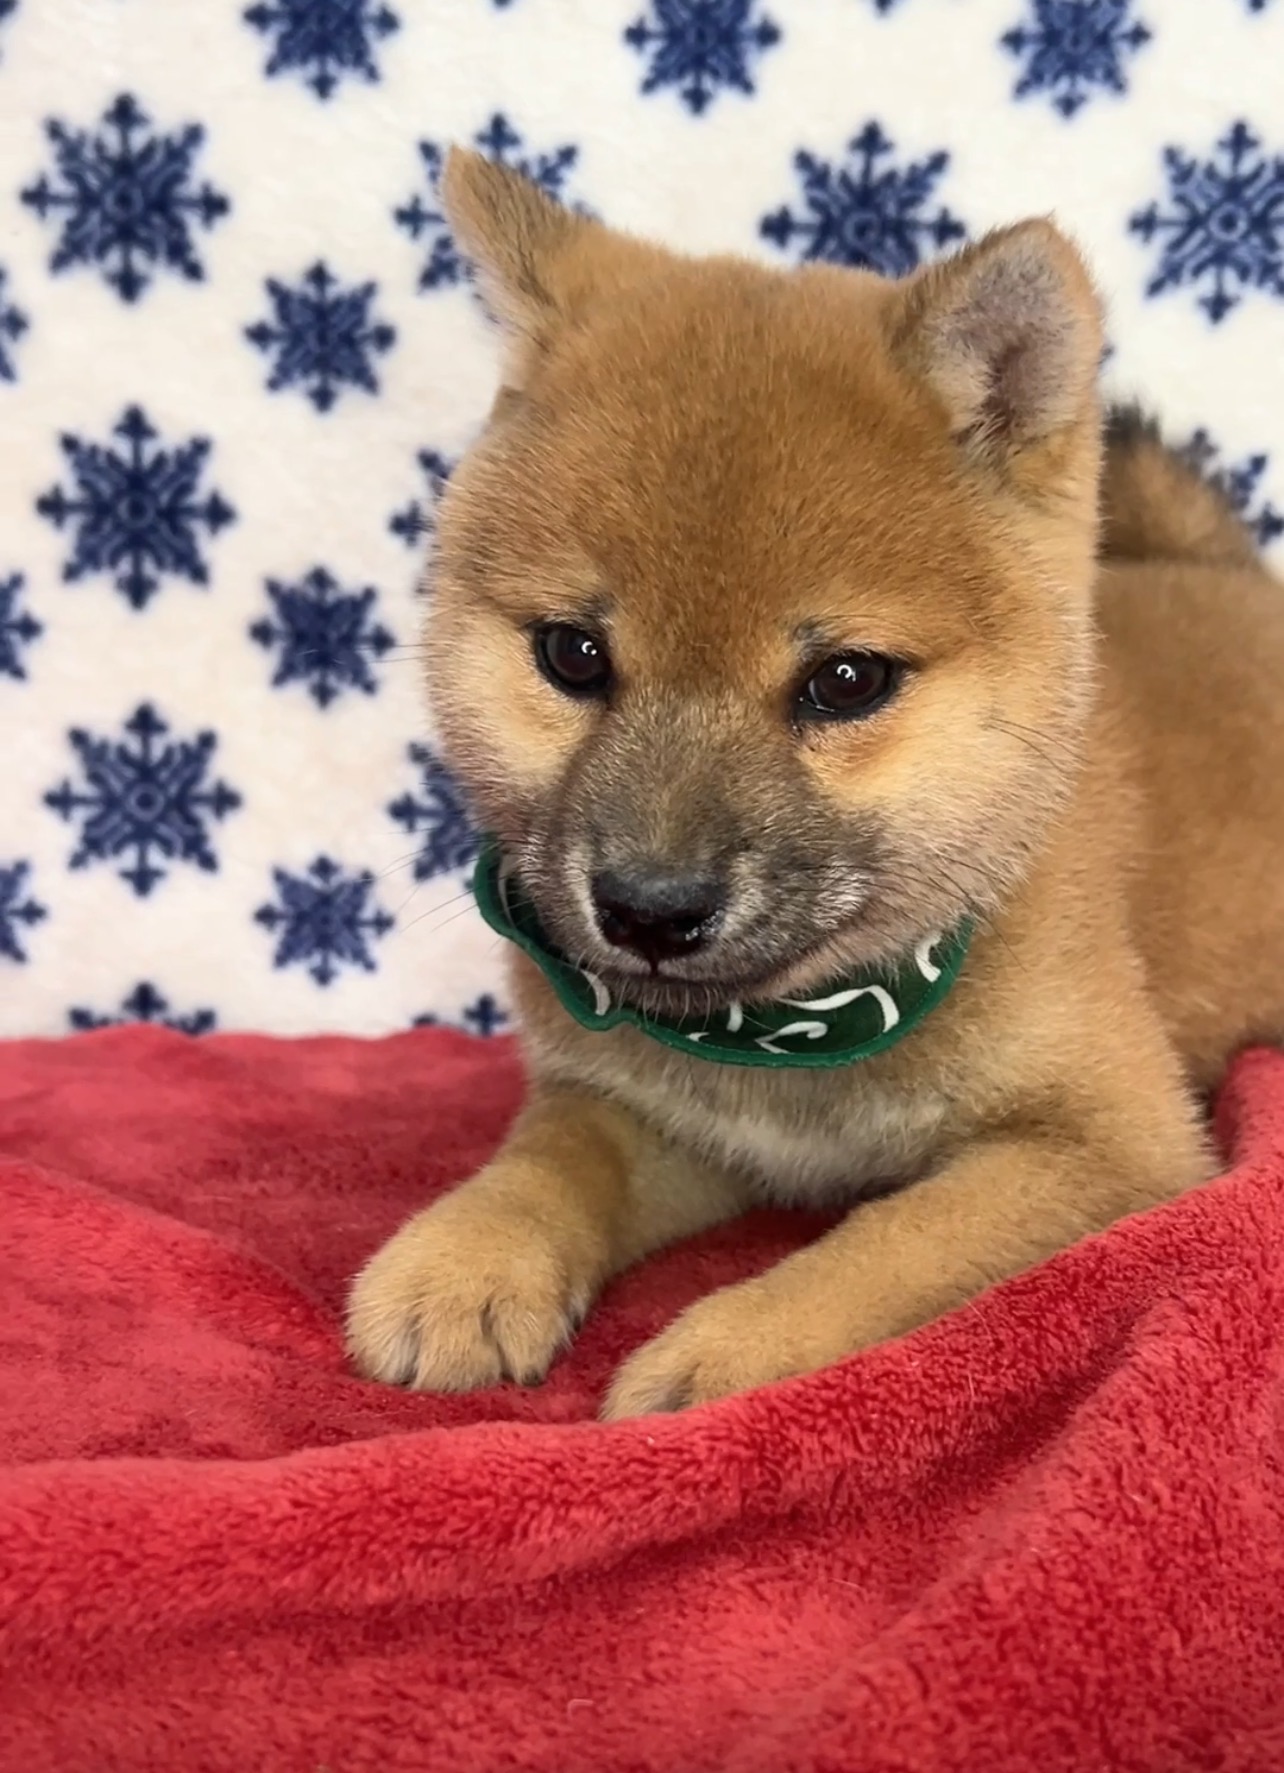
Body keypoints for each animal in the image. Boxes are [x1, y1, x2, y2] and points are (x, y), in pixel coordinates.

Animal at [347, 149, 1284, 1419]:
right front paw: (467, 1256)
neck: (793, 1036)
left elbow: (889, 1242)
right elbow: (551, 1155)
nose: (649, 910)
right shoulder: (655, 1111)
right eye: (572, 655)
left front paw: (731, 1356)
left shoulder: (1114, 1145)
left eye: (845, 680)